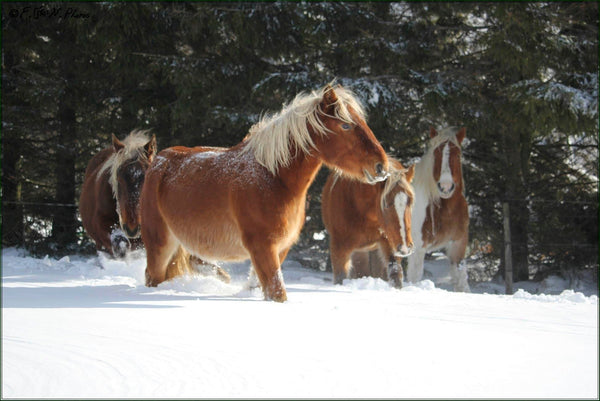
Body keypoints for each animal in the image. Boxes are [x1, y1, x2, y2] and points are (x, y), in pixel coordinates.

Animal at [140, 85, 390, 304]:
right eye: (345, 126)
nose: (382, 166)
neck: (273, 177)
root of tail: (158, 161)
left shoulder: (280, 248)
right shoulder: (262, 246)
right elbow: (277, 293)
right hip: (159, 244)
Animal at [322, 158, 414, 286]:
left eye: (410, 201)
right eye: (386, 204)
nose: (405, 247)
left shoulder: (390, 244)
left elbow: (396, 275)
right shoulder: (339, 248)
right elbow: (340, 278)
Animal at [406, 126, 472, 290]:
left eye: (457, 154)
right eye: (436, 154)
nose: (445, 187)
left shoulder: (458, 244)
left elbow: (461, 282)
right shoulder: (417, 249)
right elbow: (414, 278)